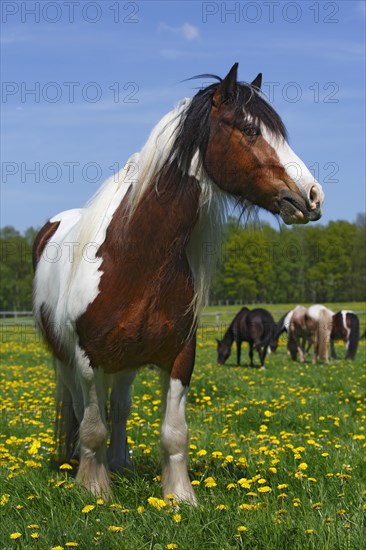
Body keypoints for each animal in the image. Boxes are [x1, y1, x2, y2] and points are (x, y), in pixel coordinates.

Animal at [31, 63, 324, 504]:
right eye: (250, 130)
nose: (313, 195)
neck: (135, 258)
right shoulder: (86, 358)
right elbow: (92, 426)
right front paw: (95, 490)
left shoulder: (180, 357)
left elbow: (174, 433)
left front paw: (180, 498)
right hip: (66, 360)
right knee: (84, 411)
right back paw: (84, 466)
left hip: (125, 362)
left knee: (121, 406)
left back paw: (121, 463)